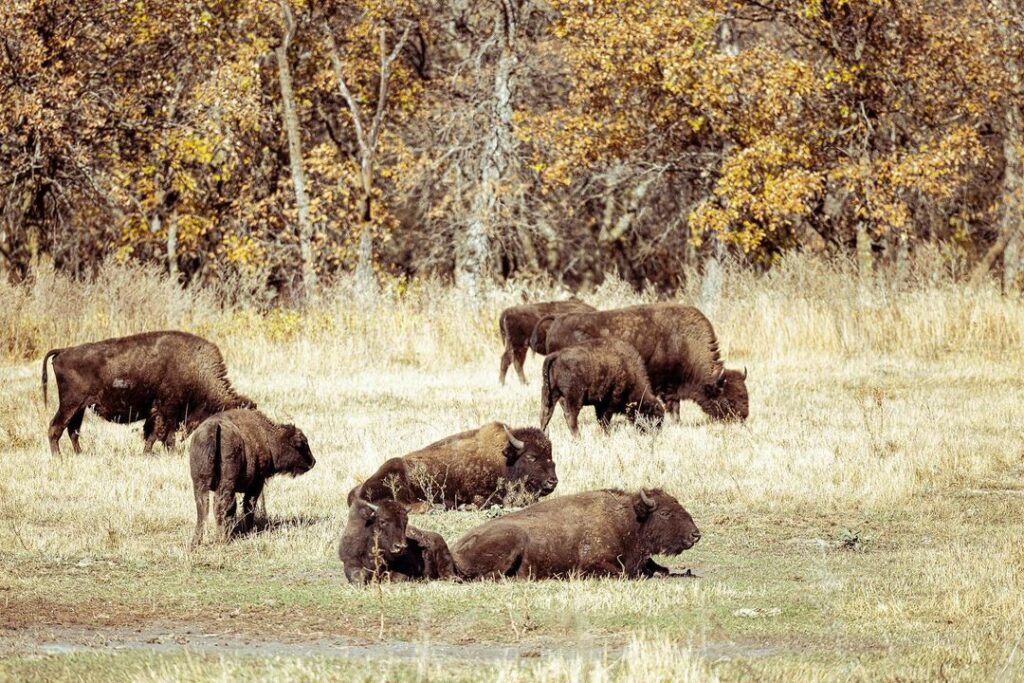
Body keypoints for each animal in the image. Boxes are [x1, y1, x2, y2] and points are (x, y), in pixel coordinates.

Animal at [41, 329, 253, 454]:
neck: (195, 368)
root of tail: (64, 351)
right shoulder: (168, 410)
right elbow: (164, 434)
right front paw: (162, 453)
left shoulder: (160, 413)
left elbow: (154, 434)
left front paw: (149, 452)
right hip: (70, 404)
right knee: (56, 428)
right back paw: (58, 457)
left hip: (79, 408)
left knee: (72, 431)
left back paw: (79, 454)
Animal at [189, 409, 313, 548]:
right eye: (303, 444)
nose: (313, 462)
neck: (267, 436)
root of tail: (214, 427)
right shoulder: (257, 483)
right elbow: (249, 505)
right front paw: (249, 530)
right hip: (226, 483)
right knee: (220, 504)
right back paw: (223, 539)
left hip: (199, 483)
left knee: (203, 507)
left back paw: (196, 542)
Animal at [452, 489, 700, 581]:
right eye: (665, 513)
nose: (695, 535)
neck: (629, 520)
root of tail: (456, 549)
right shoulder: (594, 564)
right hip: (513, 538)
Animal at [540, 305, 749, 421]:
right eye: (729, 399)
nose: (743, 416)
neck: (684, 341)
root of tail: (557, 322)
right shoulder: (668, 387)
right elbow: (674, 408)